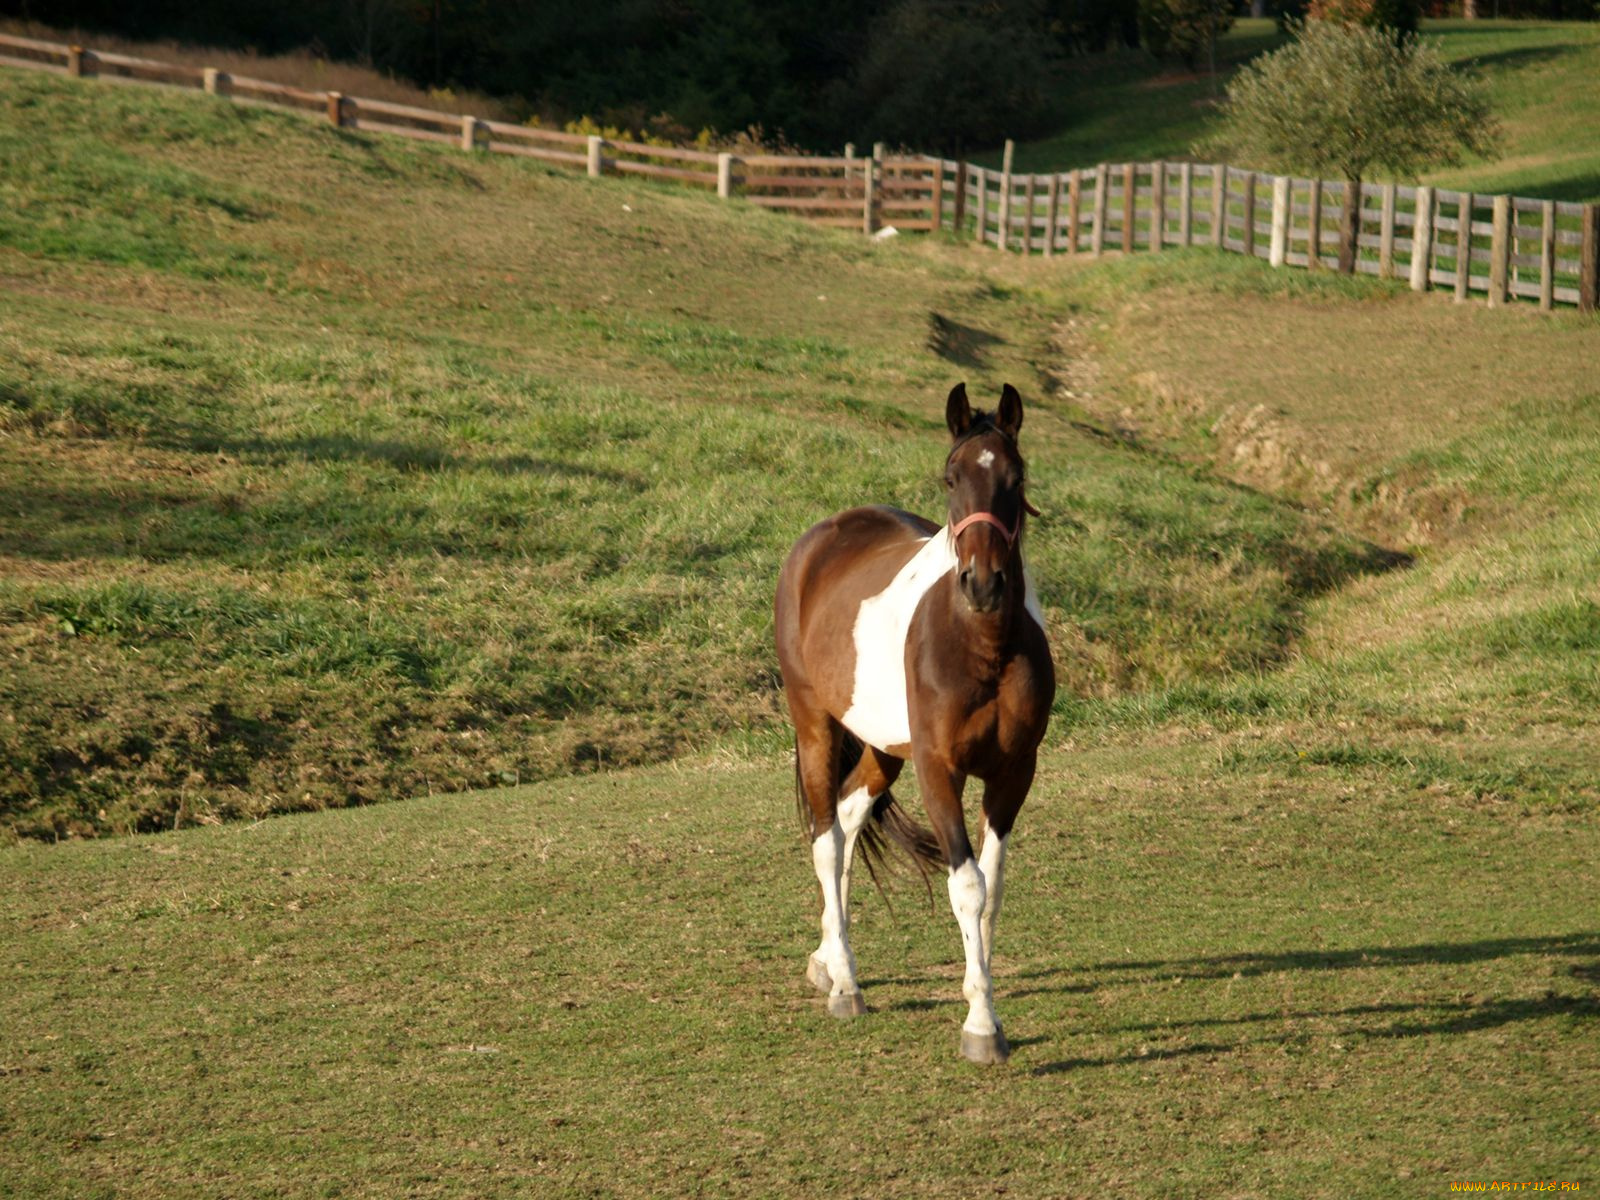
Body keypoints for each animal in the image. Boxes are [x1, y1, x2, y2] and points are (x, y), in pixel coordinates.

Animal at [771, 382, 1056, 1062]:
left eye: (1016, 477)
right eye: (951, 477)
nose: (983, 584)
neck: (982, 646)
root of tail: (818, 540)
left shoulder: (1015, 772)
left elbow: (992, 889)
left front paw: (980, 991)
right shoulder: (938, 771)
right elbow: (967, 886)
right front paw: (981, 1024)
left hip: (882, 747)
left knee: (847, 817)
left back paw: (829, 957)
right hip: (816, 725)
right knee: (825, 838)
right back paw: (845, 984)